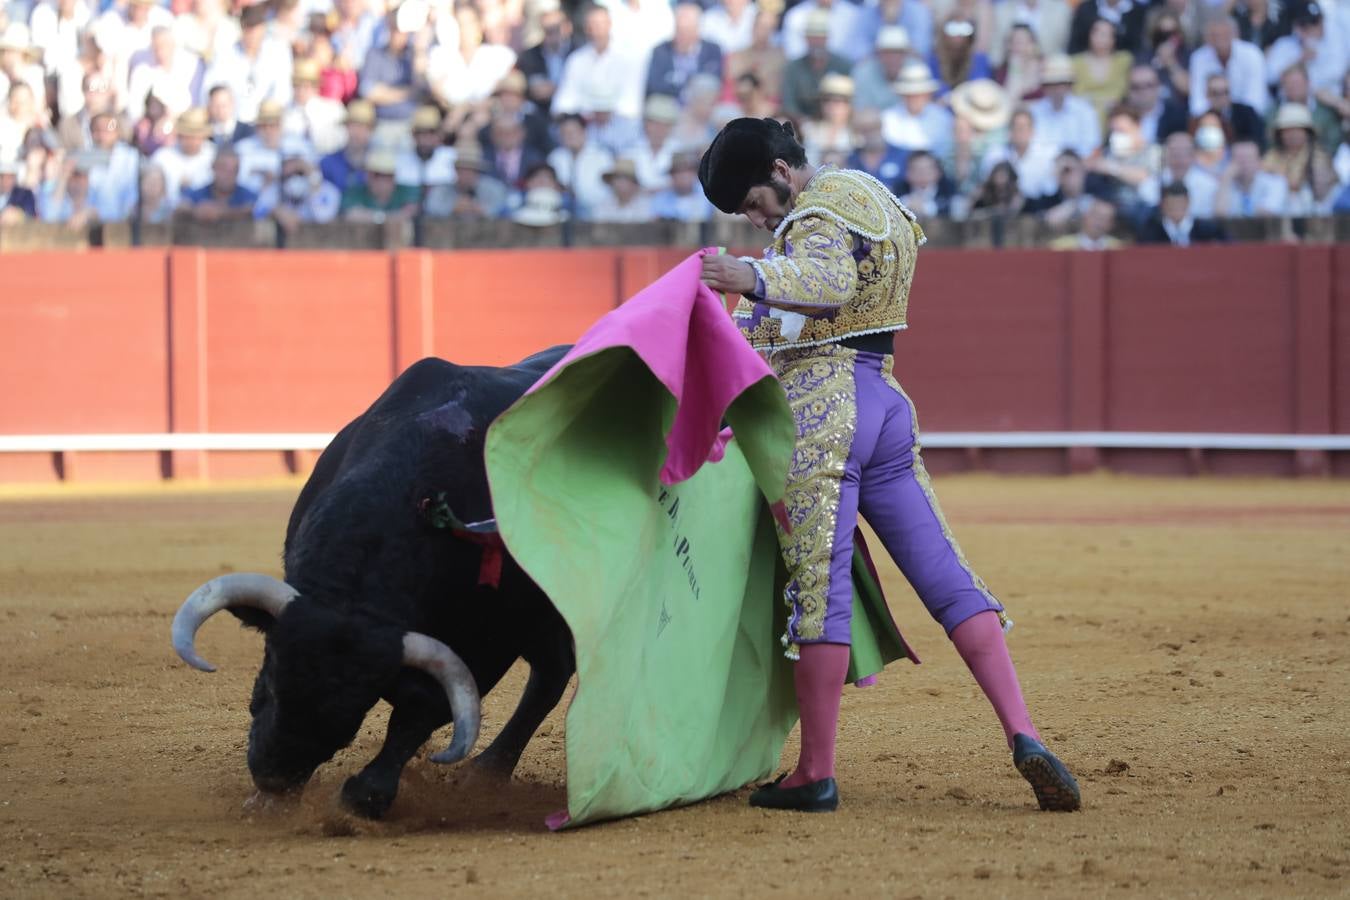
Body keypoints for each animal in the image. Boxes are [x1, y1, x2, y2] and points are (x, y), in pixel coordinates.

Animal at [168, 348, 575, 820]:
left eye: (353, 711)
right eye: (268, 681)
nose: (273, 778)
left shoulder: (489, 643)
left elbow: (422, 711)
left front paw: (362, 798)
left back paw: (485, 772)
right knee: (553, 669)